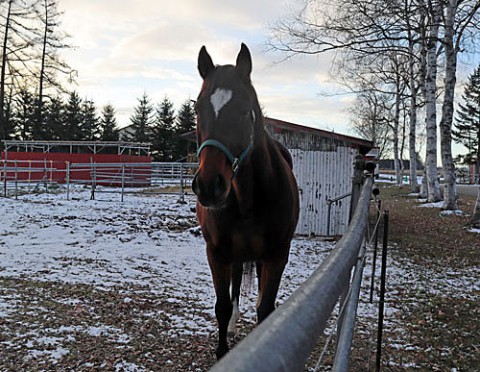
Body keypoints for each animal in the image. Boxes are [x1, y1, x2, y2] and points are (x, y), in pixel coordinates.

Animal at [192, 44, 298, 360]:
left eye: (243, 111)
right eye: (197, 109)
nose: (209, 186)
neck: (247, 200)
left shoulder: (277, 254)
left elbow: (265, 308)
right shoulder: (216, 253)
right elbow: (222, 306)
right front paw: (221, 349)